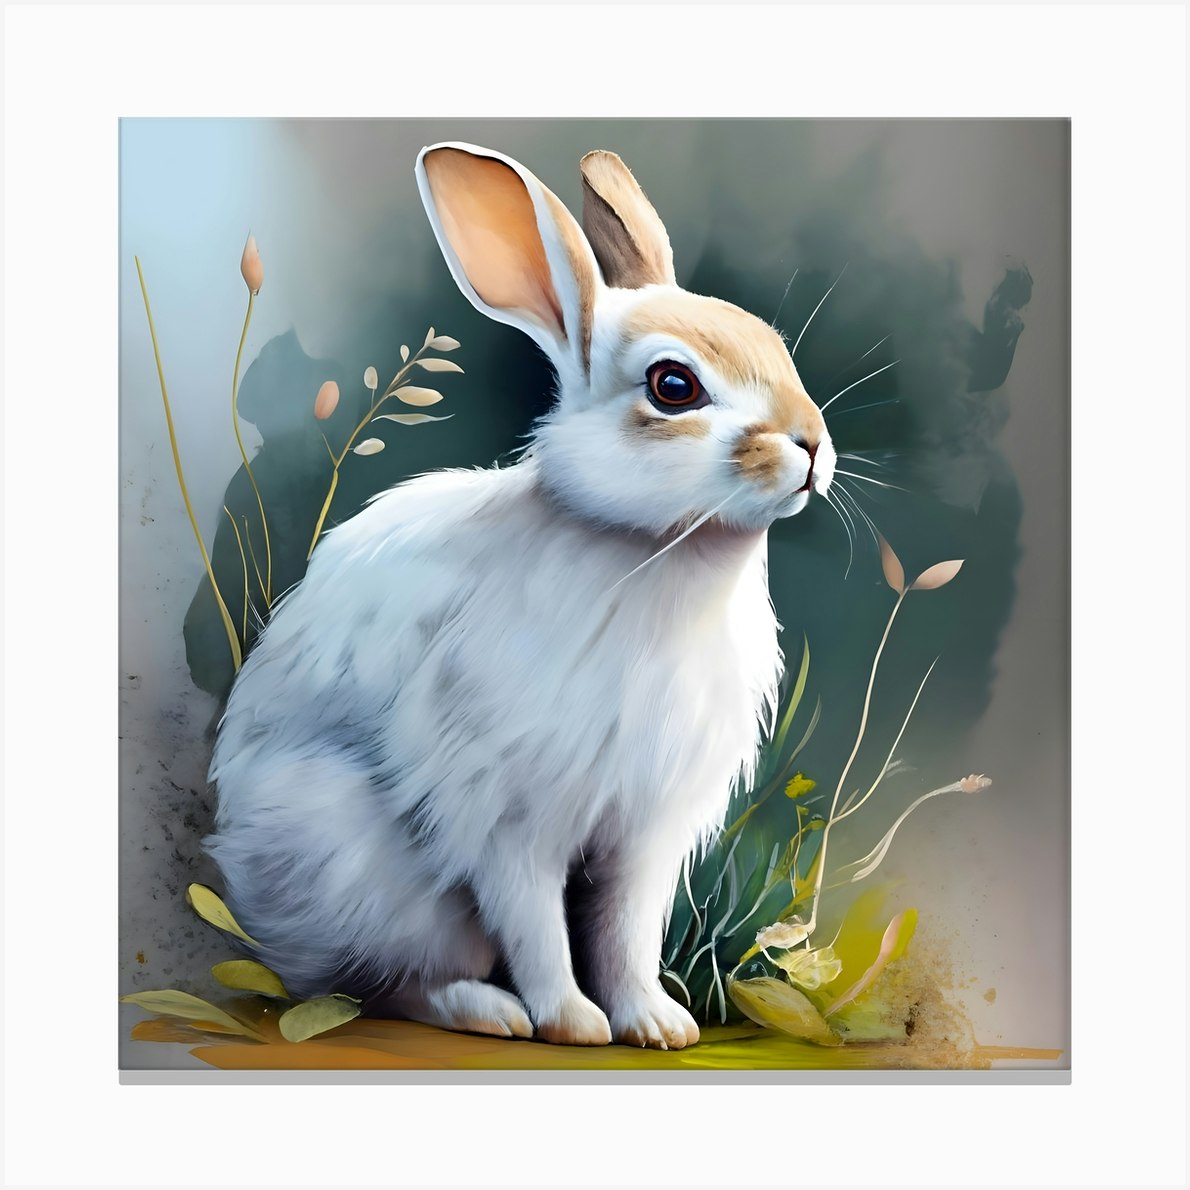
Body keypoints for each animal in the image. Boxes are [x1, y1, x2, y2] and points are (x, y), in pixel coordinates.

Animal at [204, 142, 835, 1049]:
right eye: (674, 386)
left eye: (777, 349)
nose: (811, 445)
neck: (652, 552)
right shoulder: (504, 813)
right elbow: (536, 923)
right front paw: (573, 1023)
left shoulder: (645, 830)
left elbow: (626, 929)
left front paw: (656, 1025)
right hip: (373, 876)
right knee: (377, 984)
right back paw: (490, 1011)